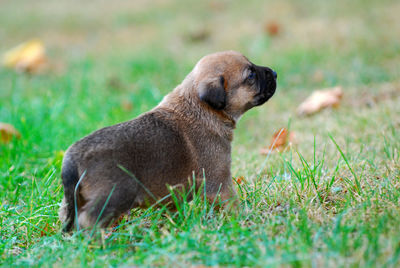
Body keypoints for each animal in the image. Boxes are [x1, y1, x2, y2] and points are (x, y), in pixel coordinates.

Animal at [59, 51, 276, 231]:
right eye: (251, 76)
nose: (274, 72)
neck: (200, 106)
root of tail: (72, 158)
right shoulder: (219, 181)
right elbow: (232, 203)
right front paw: (244, 219)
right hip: (115, 194)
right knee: (89, 220)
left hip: (76, 200)